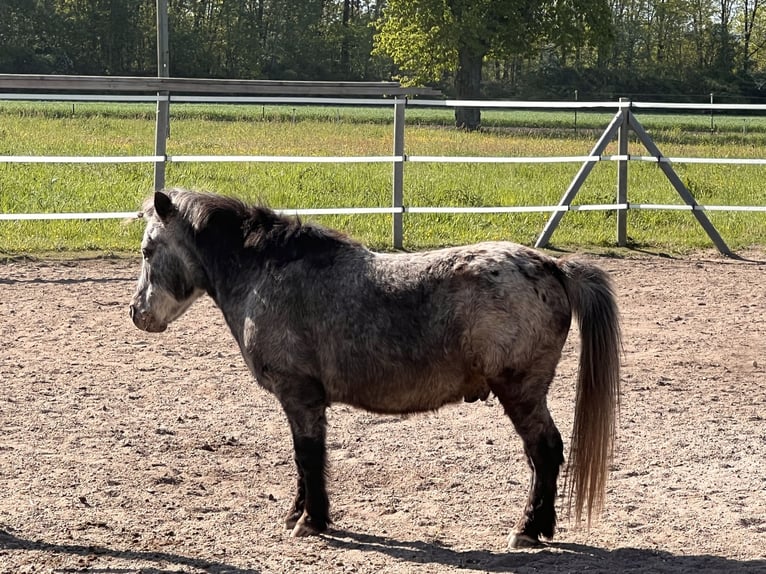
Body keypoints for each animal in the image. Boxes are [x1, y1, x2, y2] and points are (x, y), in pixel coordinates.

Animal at [129, 188, 621, 549]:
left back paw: (528, 529)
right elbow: (307, 460)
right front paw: (299, 513)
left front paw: (311, 521)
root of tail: (551, 264)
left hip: (521, 393)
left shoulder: (299, 396)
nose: (137, 313)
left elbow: (307, 456)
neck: (267, 273)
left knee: (545, 451)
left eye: (148, 250)